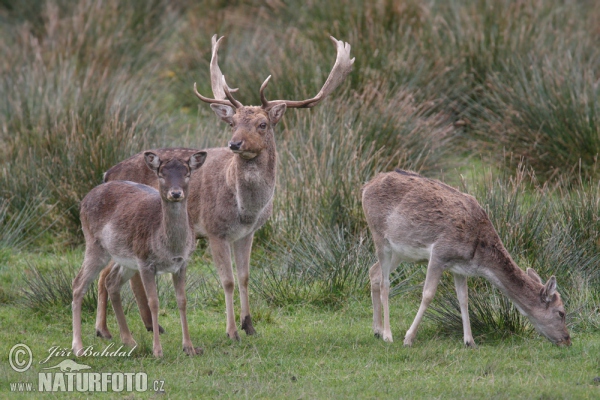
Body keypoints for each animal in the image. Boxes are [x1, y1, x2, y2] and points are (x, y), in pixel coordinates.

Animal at [72, 152, 206, 358]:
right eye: (161, 173)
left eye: (188, 173)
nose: (176, 193)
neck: (170, 247)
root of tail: (85, 198)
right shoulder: (145, 262)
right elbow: (154, 302)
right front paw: (157, 351)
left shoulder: (182, 263)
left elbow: (182, 301)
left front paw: (189, 348)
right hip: (95, 246)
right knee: (78, 284)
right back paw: (78, 347)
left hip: (125, 259)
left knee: (111, 282)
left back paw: (128, 340)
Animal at [95, 35, 356, 340]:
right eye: (232, 123)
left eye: (262, 124)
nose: (235, 144)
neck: (245, 209)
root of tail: (107, 173)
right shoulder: (214, 230)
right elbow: (227, 281)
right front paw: (231, 331)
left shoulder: (248, 233)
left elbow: (244, 277)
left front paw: (249, 325)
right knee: (108, 274)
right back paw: (106, 330)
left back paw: (144, 326)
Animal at [360, 170, 572, 348]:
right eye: (561, 313)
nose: (567, 340)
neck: (477, 255)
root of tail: (366, 186)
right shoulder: (439, 253)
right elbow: (428, 294)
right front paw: (408, 338)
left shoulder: (458, 267)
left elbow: (464, 298)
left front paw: (470, 341)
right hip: (379, 236)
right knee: (386, 282)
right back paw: (387, 335)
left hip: (401, 251)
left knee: (374, 271)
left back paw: (377, 330)